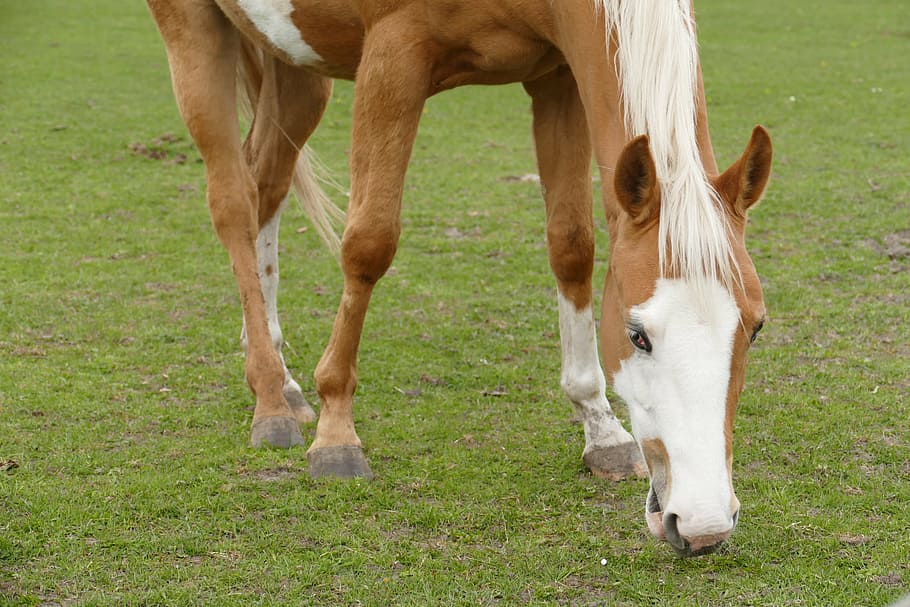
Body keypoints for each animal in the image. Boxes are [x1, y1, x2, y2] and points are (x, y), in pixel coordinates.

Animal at [146, 0, 772, 556]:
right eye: (637, 334)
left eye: (756, 328)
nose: (704, 525)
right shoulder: (392, 58)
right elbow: (369, 243)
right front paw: (336, 432)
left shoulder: (559, 77)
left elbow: (571, 246)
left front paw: (600, 427)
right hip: (196, 36)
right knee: (234, 202)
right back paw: (271, 401)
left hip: (296, 67)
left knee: (268, 183)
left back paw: (280, 375)